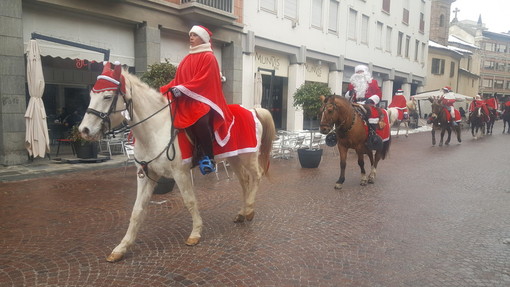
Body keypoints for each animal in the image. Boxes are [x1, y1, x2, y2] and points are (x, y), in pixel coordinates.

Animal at [80, 62, 276, 264]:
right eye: (91, 95)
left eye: (107, 96)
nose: (84, 130)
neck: (155, 129)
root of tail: (253, 111)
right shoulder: (146, 175)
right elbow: (137, 211)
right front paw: (121, 247)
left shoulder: (180, 173)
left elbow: (190, 201)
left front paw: (195, 233)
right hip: (234, 157)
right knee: (245, 181)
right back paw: (242, 213)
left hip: (248, 156)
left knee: (256, 176)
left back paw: (250, 210)